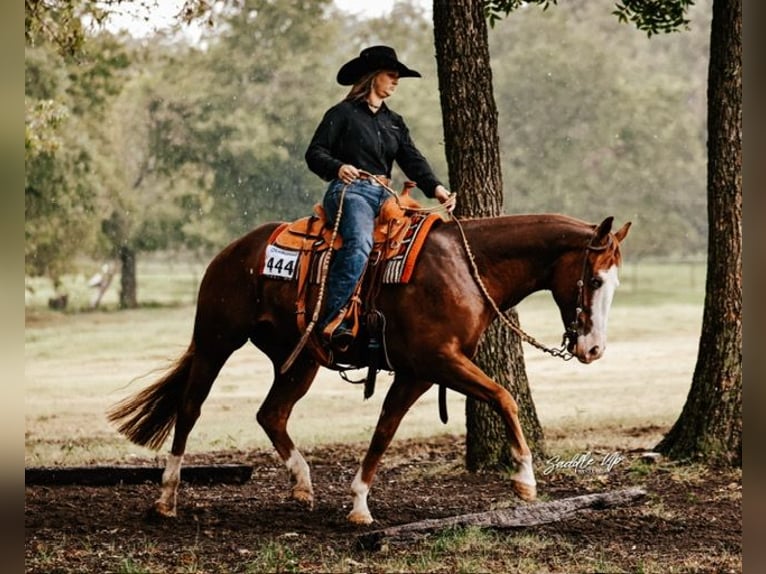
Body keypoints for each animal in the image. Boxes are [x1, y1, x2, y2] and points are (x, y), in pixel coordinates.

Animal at [108, 212, 631, 525]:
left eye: (615, 284)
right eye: (595, 280)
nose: (594, 349)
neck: (466, 267)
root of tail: (232, 251)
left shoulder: (421, 372)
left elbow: (384, 429)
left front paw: (358, 502)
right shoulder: (437, 361)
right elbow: (502, 396)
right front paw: (525, 479)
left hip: (298, 360)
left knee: (271, 413)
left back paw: (302, 485)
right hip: (216, 342)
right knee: (190, 409)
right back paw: (167, 497)